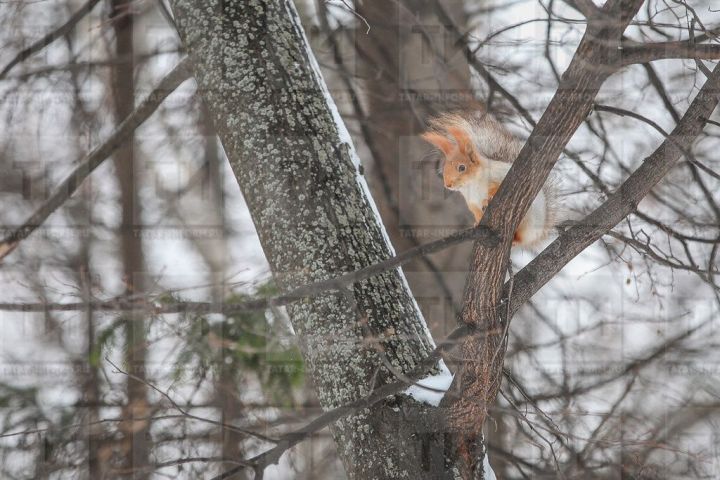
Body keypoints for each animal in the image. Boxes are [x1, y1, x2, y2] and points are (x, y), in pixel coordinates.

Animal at [422, 112, 556, 248]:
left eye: (462, 167)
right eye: (444, 168)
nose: (447, 184)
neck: (472, 184)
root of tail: (539, 232)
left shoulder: (499, 177)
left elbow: (495, 188)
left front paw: (488, 199)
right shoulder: (472, 202)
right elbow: (476, 212)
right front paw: (477, 223)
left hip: (528, 221)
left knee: (522, 238)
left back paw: (516, 240)